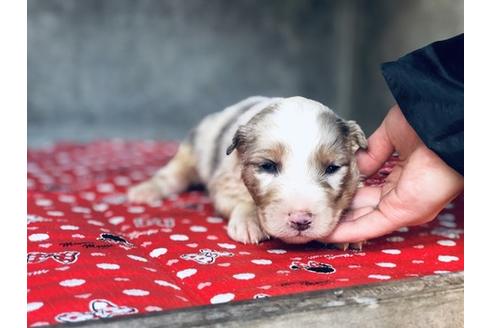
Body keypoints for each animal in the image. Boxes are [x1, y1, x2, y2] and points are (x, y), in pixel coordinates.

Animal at [129, 97, 368, 249]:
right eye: (268, 166)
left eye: (332, 168)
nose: (300, 220)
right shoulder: (225, 181)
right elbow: (240, 200)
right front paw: (248, 221)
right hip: (191, 149)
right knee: (173, 174)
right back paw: (145, 191)